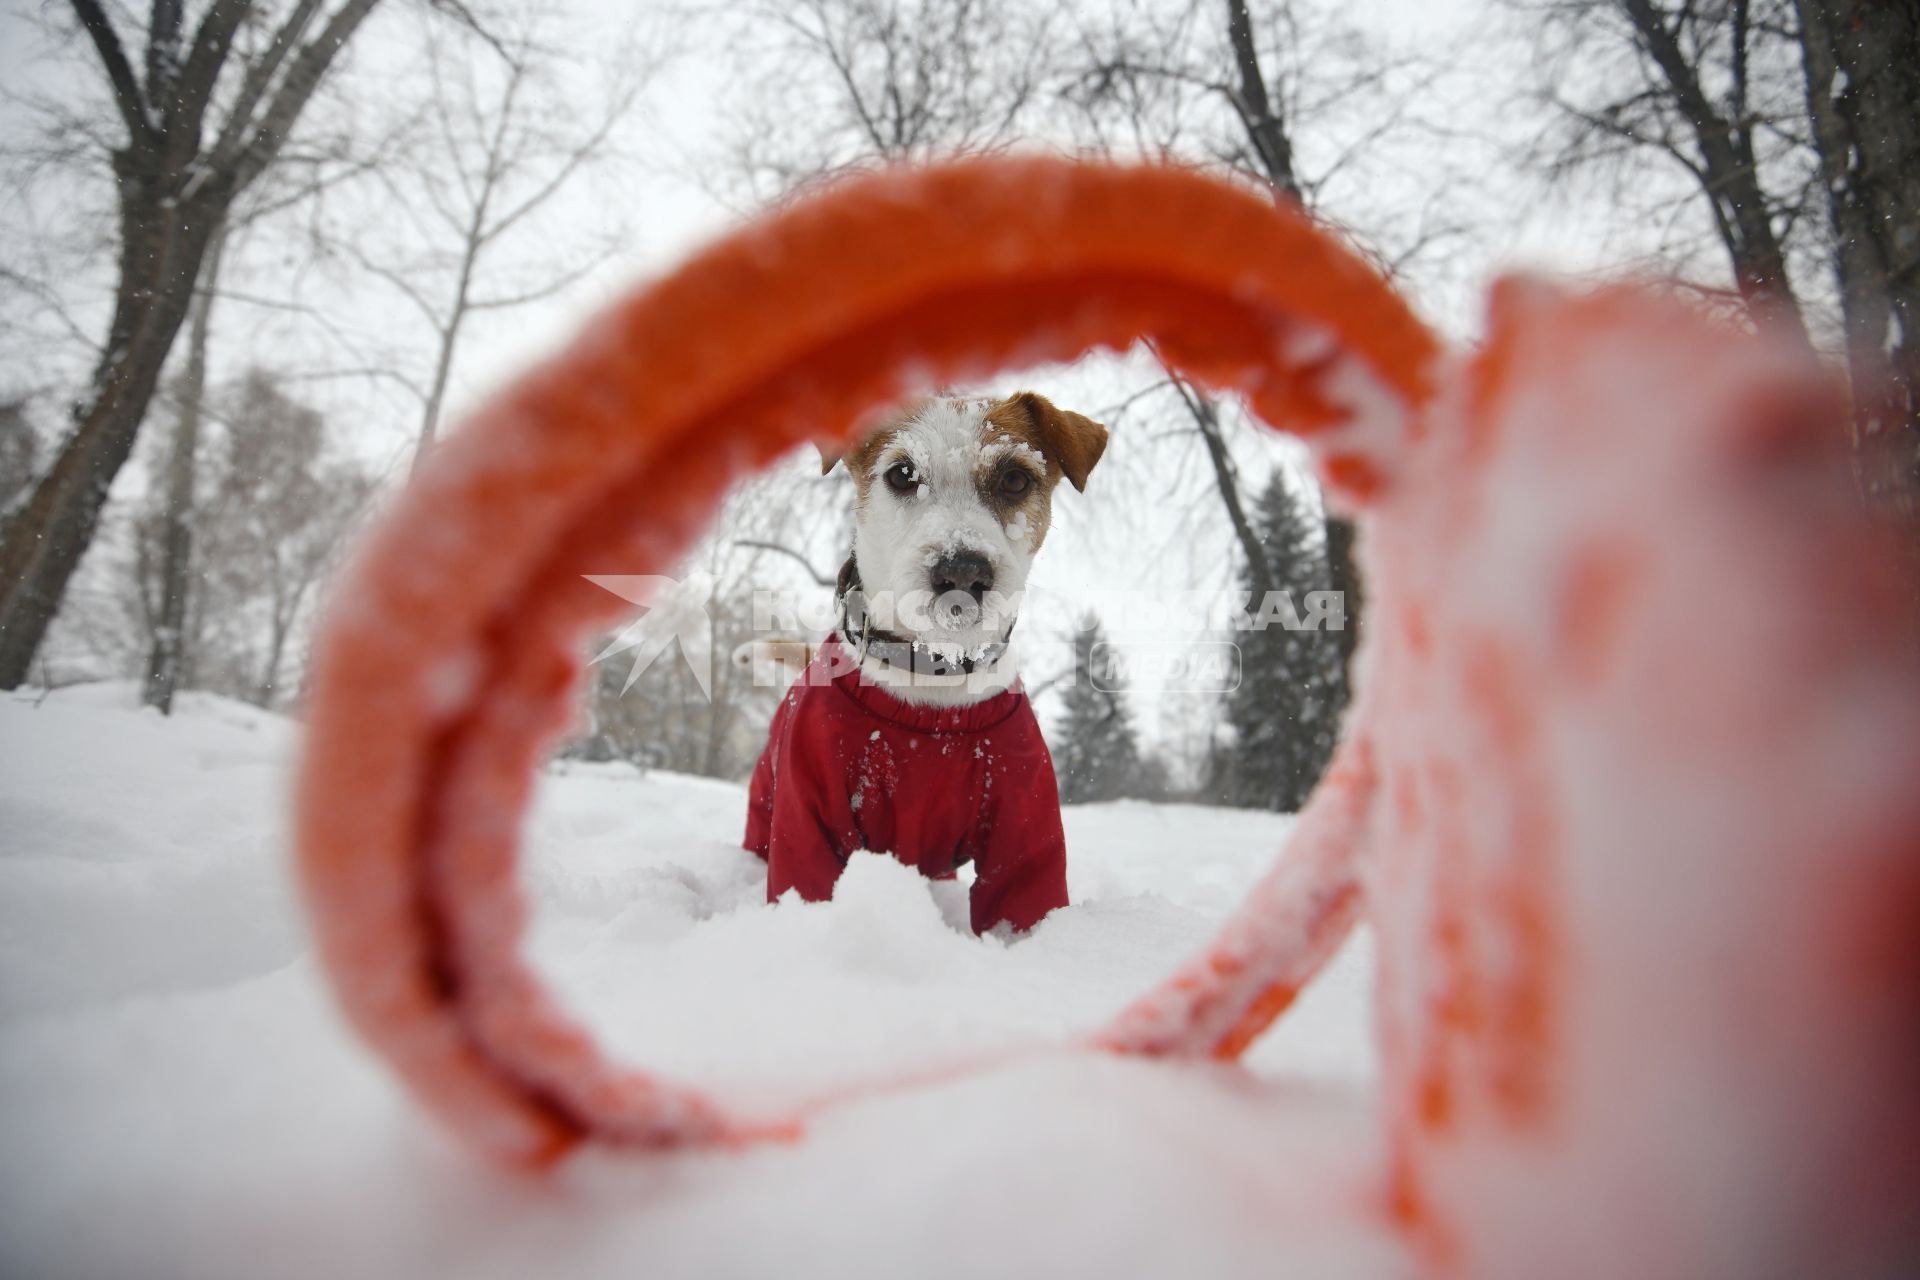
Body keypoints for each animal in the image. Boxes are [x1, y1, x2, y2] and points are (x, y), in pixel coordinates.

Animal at [744, 391, 1113, 932]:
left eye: (1015, 478)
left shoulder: (1023, 824)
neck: (932, 674)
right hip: (766, 801)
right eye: (902, 473)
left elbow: (1023, 903)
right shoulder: (809, 810)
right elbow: (806, 880)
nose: (961, 570)